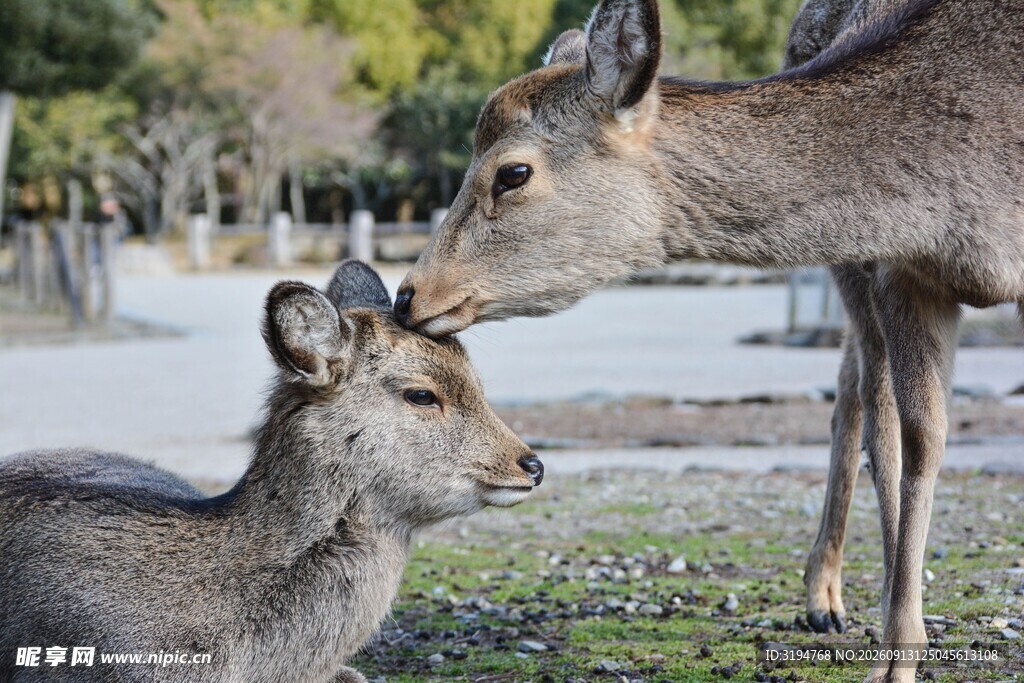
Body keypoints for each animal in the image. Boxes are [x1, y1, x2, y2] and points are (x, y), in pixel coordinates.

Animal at [392, 0, 1024, 680]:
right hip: (852, 265)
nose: (407, 295)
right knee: (860, 393)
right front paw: (895, 653)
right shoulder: (900, 268)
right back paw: (824, 598)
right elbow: (914, 439)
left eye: (513, 172)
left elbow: (919, 441)